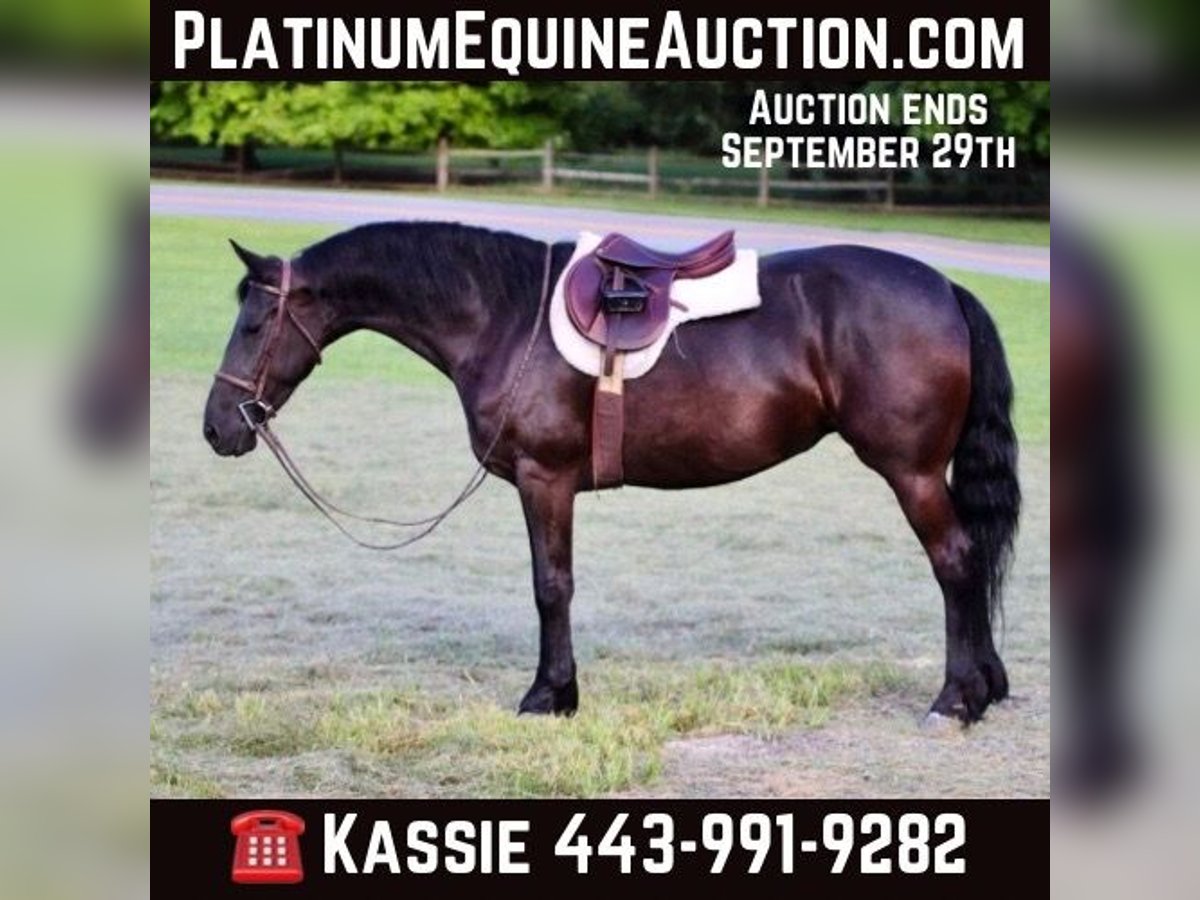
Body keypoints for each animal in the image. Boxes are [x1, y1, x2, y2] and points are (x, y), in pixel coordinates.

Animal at [202, 222, 1020, 725]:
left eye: (253, 324)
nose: (217, 427)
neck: (504, 316)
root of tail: (946, 289)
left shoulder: (545, 480)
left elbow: (550, 586)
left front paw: (549, 695)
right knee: (972, 560)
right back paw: (986, 689)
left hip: (911, 472)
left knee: (955, 561)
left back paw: (954, 701)